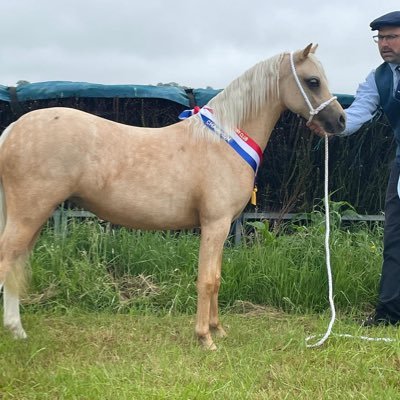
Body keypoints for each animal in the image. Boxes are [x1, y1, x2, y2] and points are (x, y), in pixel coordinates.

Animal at [0, 44, 346, 350]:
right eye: (312, 81)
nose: (340, 121)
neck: (223, 139)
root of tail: (13, 128)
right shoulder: (215, 224)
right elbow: (207, 279)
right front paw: (205, 339)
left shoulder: (221, 227)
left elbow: (217, 277)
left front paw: (218, 330)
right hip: (28, 215)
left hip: (34, 218)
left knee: (16, 264)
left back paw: (18, 331)